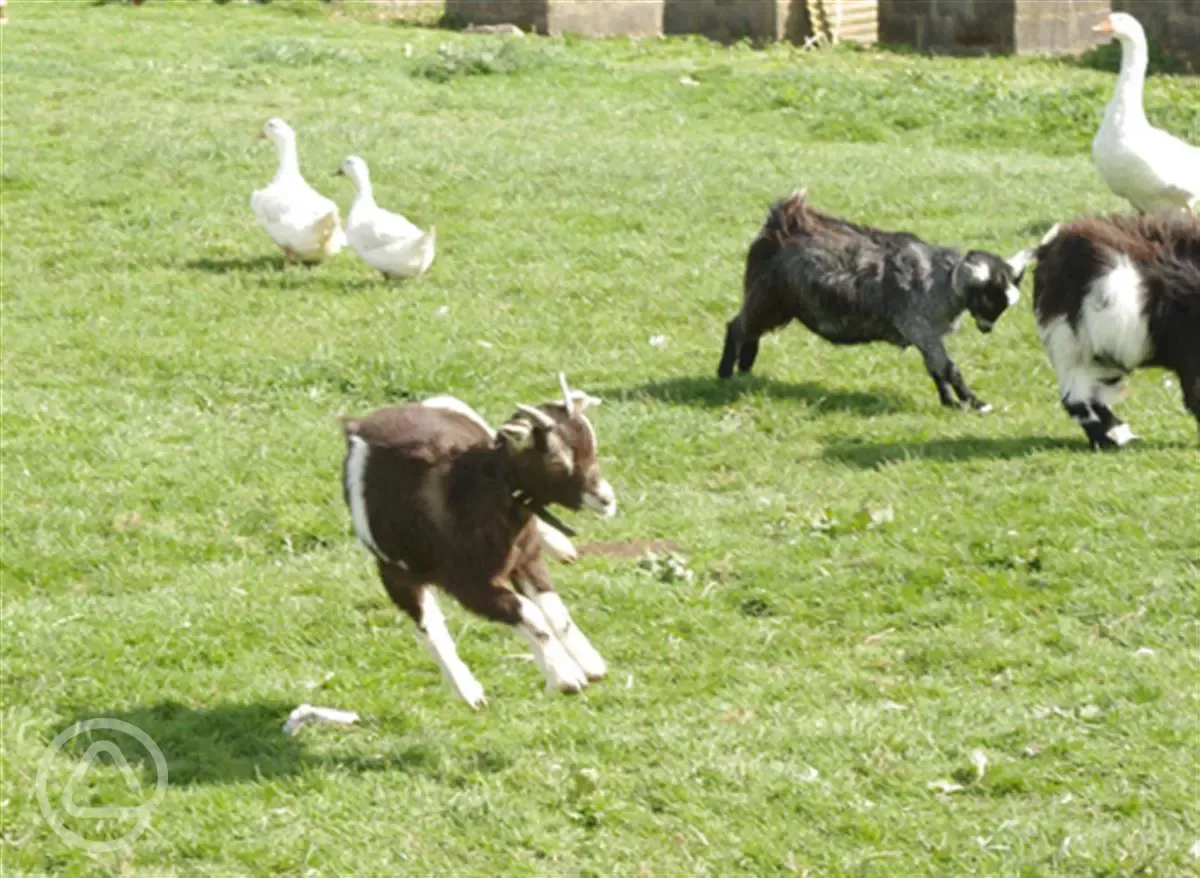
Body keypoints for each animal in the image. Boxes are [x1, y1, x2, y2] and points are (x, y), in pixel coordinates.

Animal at [340, 376, 614, 705]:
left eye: (591, 446)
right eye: (558, 462)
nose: (607, 500)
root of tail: (364, 420)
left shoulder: (526, 557)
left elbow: (555, 611)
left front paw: (590, 663)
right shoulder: (469, 586)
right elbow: (529, 613)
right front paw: (566, 678)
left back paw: (561, 545)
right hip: (397, 573)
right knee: (430, 626)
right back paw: (469, 693)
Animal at [715, 191, 1046, 412]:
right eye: (991, 299)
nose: (987, 329)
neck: (945, 281)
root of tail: (782, 221)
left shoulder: (924, 334)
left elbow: (935, 370)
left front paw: (950, 402)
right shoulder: (919, 327)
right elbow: (948, 368)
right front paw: (976, 402)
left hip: (773, 303)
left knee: (749, 330)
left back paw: (745, 368)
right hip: (768, 296)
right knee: (737, 326)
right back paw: (725, 374)